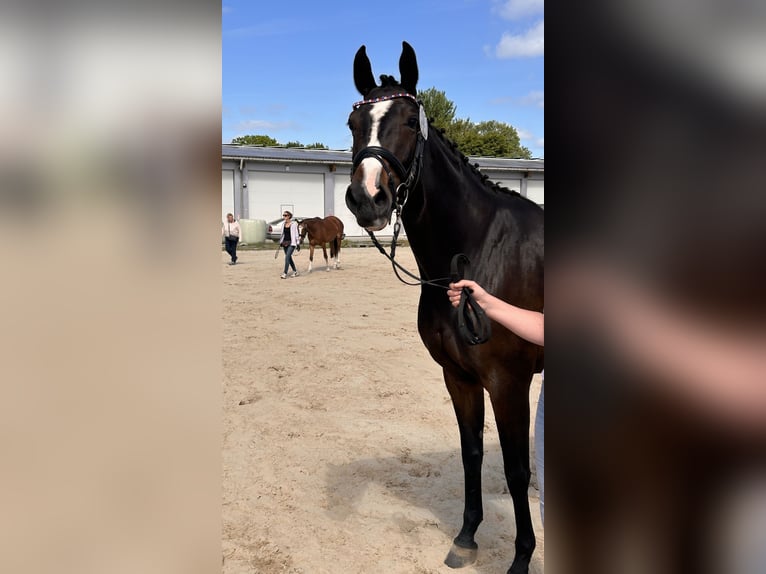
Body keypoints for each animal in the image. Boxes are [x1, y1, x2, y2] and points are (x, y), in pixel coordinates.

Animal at [344, 42, 544, 574]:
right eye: (353, 124)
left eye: (410, 122)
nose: (368, 199)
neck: (476, 249)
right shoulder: (458, 376)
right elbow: (471, 452)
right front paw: (467, 537)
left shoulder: (509, 381)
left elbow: (516, 469)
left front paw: (521, 557)